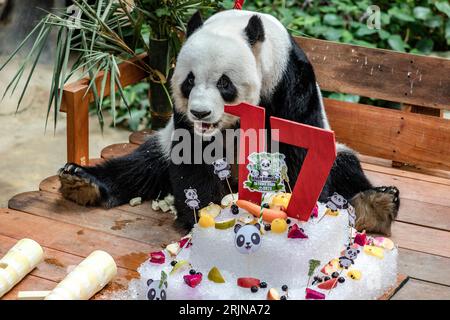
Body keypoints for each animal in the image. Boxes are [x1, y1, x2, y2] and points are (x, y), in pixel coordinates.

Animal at [58, 9, 400, 235]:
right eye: (189, 80)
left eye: (224, 83)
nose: (200, 113)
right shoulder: (182, 120)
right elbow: (191, 154)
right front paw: (202, 215)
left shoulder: (288, 82)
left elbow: (301, 146)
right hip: (160, 143)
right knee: (138, 166)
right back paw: (81, 181)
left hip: (339, 150)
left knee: (345, 167)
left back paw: (376, 203)